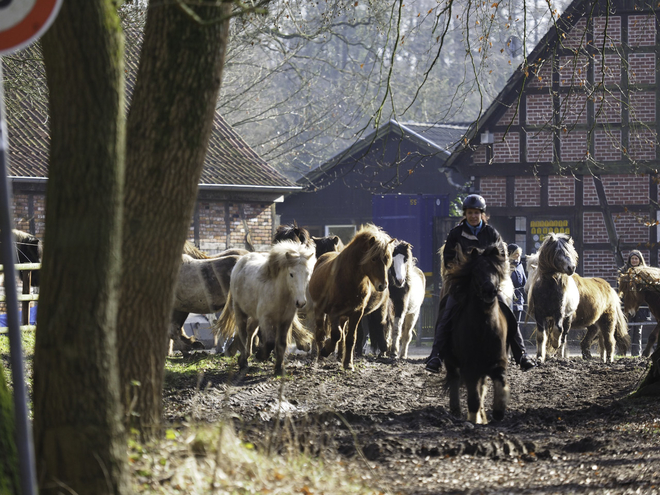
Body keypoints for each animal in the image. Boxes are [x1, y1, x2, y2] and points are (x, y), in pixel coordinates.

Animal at [211, 240, 314, 376]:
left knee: (250, 331)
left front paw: (279, 368)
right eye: (291, 274)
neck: (279, 293)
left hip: (255, 316)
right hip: (240, 311)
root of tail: (241, 261)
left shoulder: (285, 320)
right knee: (243, 333)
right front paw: (260, 355)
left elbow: (281, 343)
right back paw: (244, 362)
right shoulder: (266, 319)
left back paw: (245, 356)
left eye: (307, 273)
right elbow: (269, 342)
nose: (301, 302)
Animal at [308, 225, 392, 372]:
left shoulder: (356, 313)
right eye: (373, 258)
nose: (382, 285)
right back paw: (321, 358)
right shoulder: (334, 313)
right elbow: (336, 334)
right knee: (320, 333)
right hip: (320, 310)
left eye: (387, 259)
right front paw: (326, 350)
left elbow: (350, 338)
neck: (348, 279)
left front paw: (348, 363)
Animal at [444, 244, 510, 426]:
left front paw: (498, 412)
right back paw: (456, 411)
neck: (484, 325)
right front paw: (473, 420)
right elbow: (473, 397)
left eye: (496, 270)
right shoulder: (470, 366)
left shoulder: (498, 360)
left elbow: (500, 381)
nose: (489, 291)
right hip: (451, 361)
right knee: (454, 379)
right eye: (476, 271)